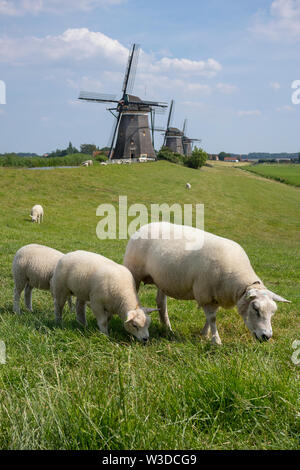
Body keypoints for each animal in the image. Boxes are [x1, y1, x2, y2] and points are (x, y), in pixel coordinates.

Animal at [123, 222, 290, 344]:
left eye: (273, 311)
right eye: (255, 308)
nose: (267, 337)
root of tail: (145, 225)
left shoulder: (216, 296)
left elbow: (210, 319)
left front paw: (205, 334)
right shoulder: (206, 294)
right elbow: (212, 318)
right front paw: (216, 340)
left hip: (162, 278)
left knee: (160, 302)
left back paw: (167, 327)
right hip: (134, 271)